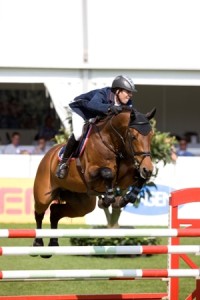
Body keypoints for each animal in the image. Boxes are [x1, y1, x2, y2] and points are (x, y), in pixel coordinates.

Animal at [32, 106, 155, 252]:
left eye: (151, 135)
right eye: (133, 136)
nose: (148, 169)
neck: (111, 141)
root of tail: (48, 155)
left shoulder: (124, 178)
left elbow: (139, 178)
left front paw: (125, 199)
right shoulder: (89, 174)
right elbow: (108, 173)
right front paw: (107, 199)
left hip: (82, 204)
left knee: (55, 212)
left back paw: (53, 244)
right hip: (44, 195)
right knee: (39, 213)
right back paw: (38, 245)